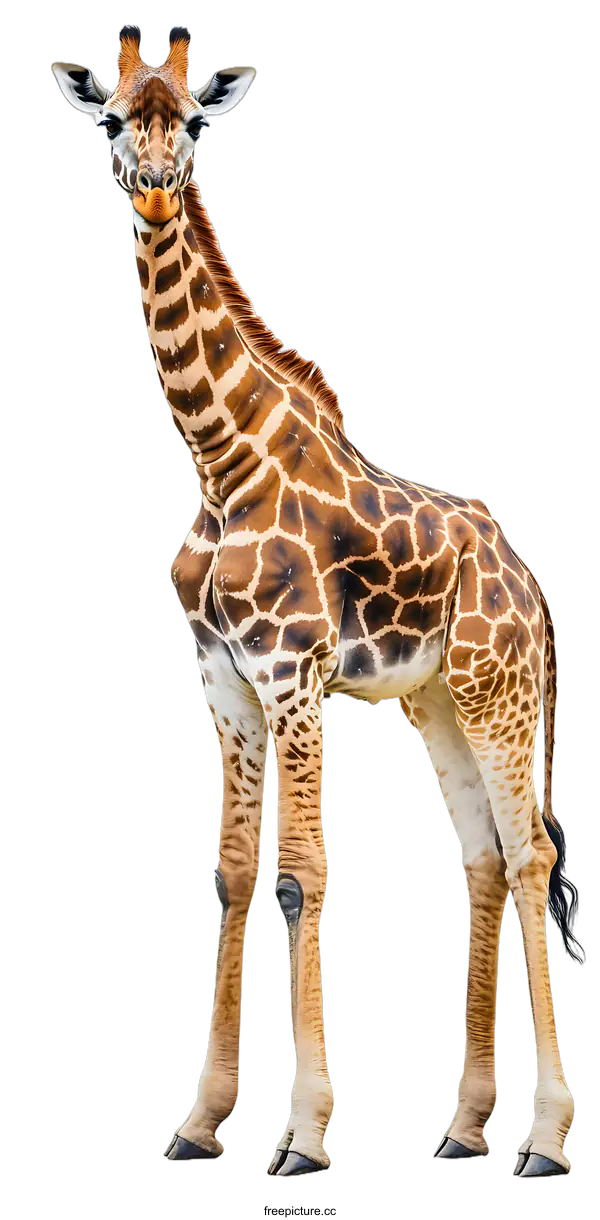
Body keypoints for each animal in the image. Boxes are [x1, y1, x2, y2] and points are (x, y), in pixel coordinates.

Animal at [51, 23, 584, 1181]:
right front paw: (201, 1123)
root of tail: (532, 584)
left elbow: (300, 873)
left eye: (191, 123)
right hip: (437, 701)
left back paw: (547, 1144)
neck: (219, 459)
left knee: (531, 856)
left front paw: (300, 1139)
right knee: (481, 855)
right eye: (113, 119)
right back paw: (467, 1128)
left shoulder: (293, 672)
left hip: (499, 692)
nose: (152, 186)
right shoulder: (222, 679)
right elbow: (234, 873)